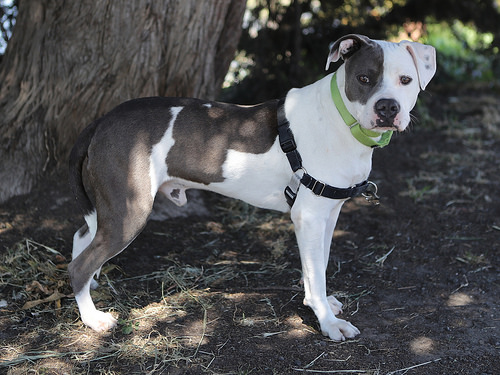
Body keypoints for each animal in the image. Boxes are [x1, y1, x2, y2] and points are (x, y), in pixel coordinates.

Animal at [68, 34, 436, 340]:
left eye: (405, 80)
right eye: (364, 79)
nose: (387, 107)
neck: (339, 117)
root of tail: (102, 120)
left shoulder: (327, 214)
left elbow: (317, 266)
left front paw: (318, 303)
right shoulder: (309, 217)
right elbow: (316, 273)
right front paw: (328, 322)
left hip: (111, 209)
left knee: (82, 237)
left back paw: (94, 286)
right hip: (130, 209)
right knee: (79, 264)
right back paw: (93, 319)